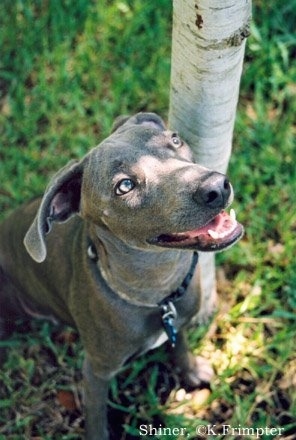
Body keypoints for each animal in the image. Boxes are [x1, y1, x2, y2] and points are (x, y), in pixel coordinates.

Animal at [0, 112, 243, 436]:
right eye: (125, 186)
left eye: (175, 140)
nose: (217, 186)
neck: (157, 289)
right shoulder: (96, 372)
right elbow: (97, 420)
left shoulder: (177, 318)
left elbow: (179, 345)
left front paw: (191, 370)